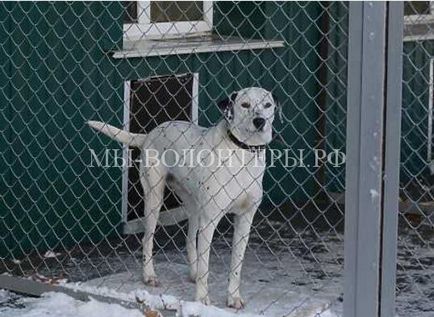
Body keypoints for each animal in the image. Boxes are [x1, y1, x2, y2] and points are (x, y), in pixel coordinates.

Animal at [88, 87, 278, 308]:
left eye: (267, 105)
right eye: (245, 104)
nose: (260, 121)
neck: (242, 152)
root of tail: (150, 133)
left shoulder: (245, 219)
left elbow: (236, 266)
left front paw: (233, 297)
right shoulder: (210, 220)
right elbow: (205, 266)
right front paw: (202, 299)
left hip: (194, 207)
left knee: (189, 240)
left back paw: (192, 273)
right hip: (154, 198)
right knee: (147, 238)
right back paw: (149, 275)